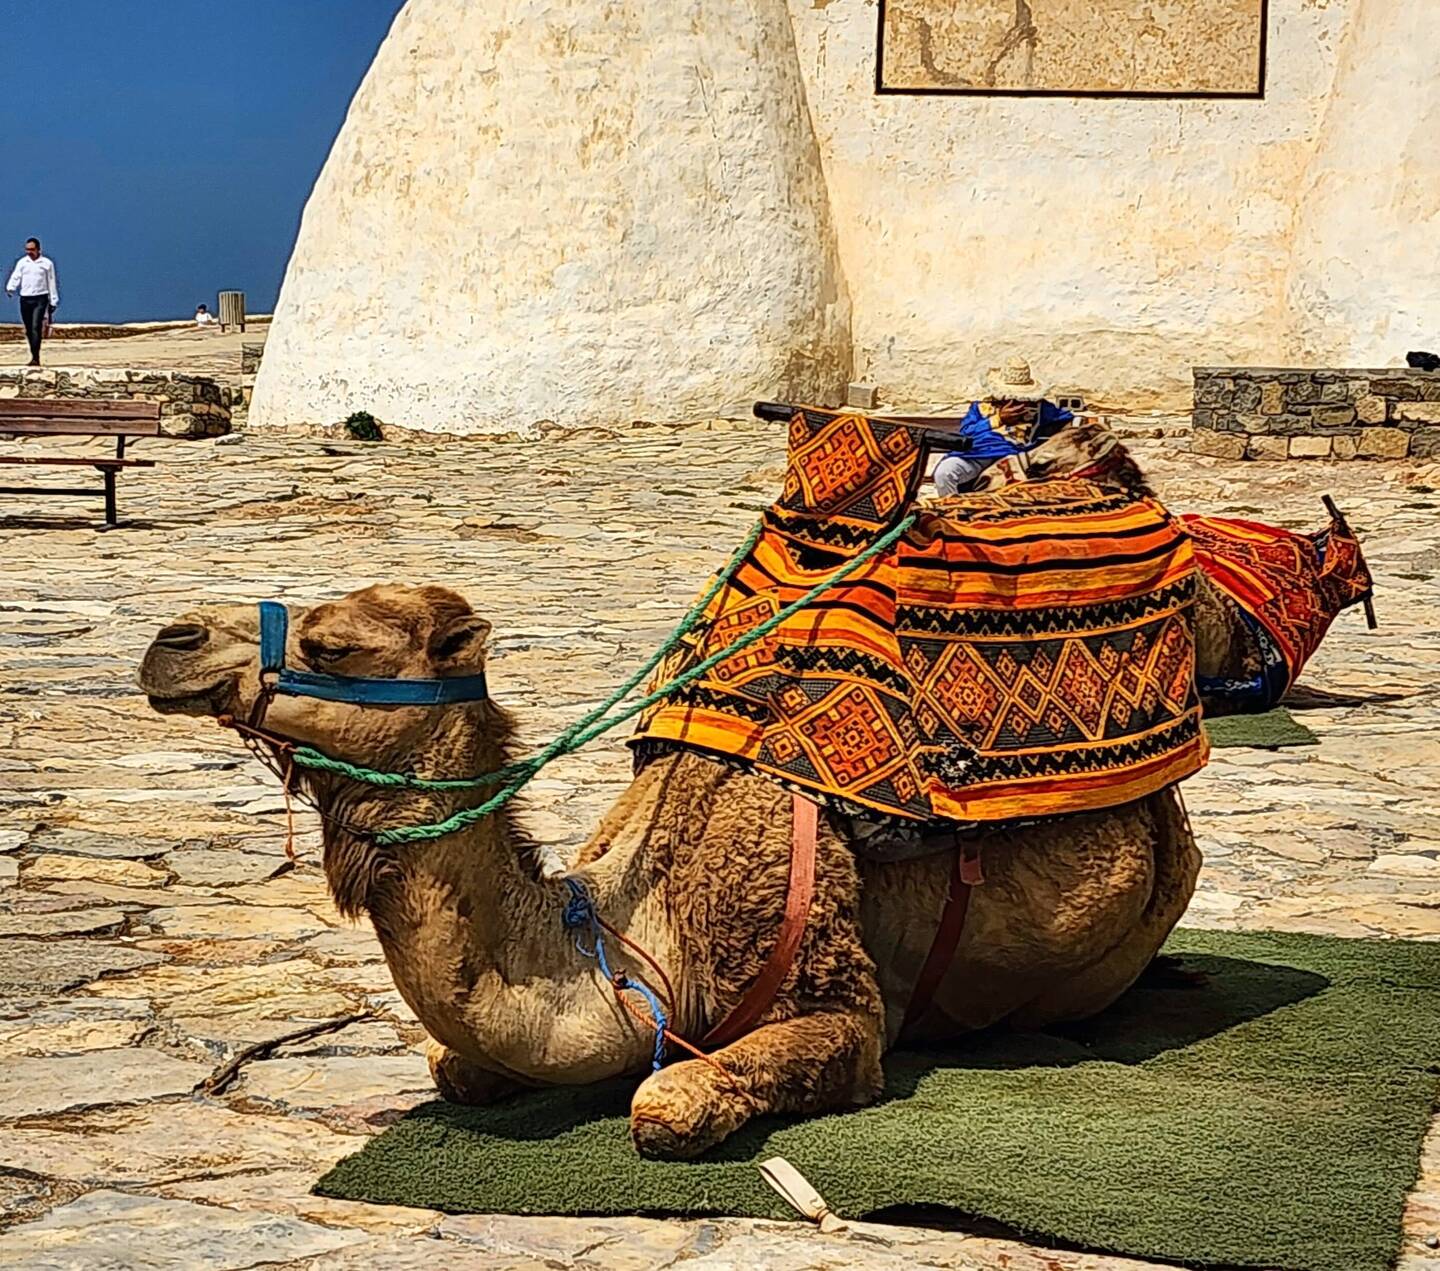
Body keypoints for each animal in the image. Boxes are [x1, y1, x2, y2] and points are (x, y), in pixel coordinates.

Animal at [139, 583, 1200, 1158]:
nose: (169, 641)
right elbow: (454, 1066)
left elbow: (664, 1102)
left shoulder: (842, 1010)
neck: (634, 928)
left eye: (332, 645)